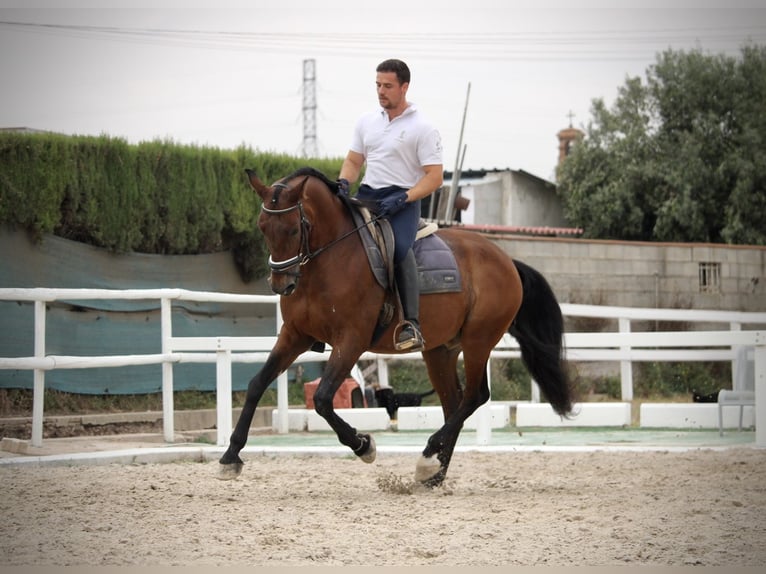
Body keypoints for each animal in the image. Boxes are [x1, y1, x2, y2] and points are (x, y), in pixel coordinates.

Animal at [218, 166, 574, 487]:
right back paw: (433, 473)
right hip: (440, 350)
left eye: (294, 230)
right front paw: (230, 456)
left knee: (474, 396)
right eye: (262, 227)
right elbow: (256, 384)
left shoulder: (351, 340)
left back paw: (428, 457)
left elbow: (321, 399)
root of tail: (507, 260)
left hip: (478, 340)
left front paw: (364, 445)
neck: (328, 259)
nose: (282, 284)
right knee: (454, 403)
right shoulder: (295, 335)